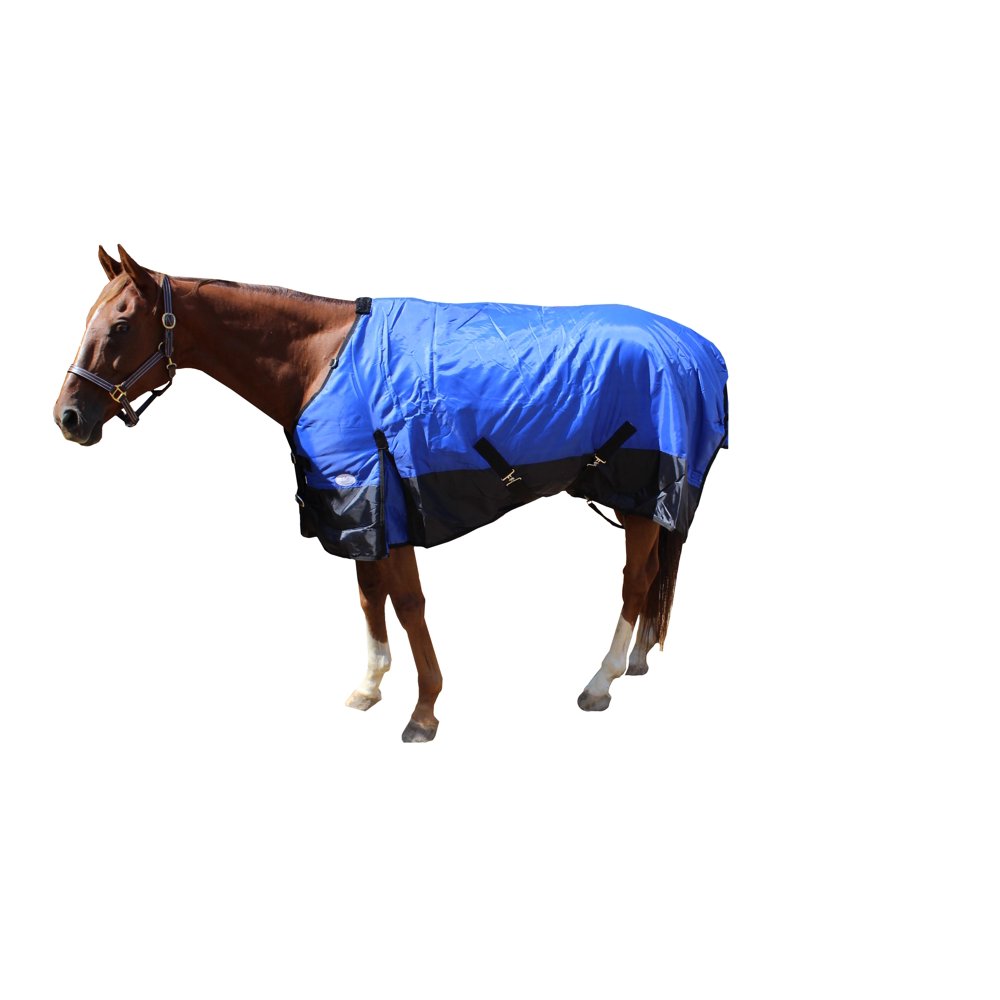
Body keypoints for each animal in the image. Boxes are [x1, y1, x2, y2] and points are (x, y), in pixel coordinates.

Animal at [53, 246, 728, 742]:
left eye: (120, 325)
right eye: (89, 319)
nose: (68, 418)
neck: (321, 363)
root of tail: (697, 348)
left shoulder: (386, 502)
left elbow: (406, 603)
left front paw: (424, 711)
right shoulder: (355, 511)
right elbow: (368, 595)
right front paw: (370, 687)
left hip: (642, 490)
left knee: (635, 583)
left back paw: (601, 682)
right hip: (642, 501)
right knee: (654, 575)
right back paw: (637, 659)